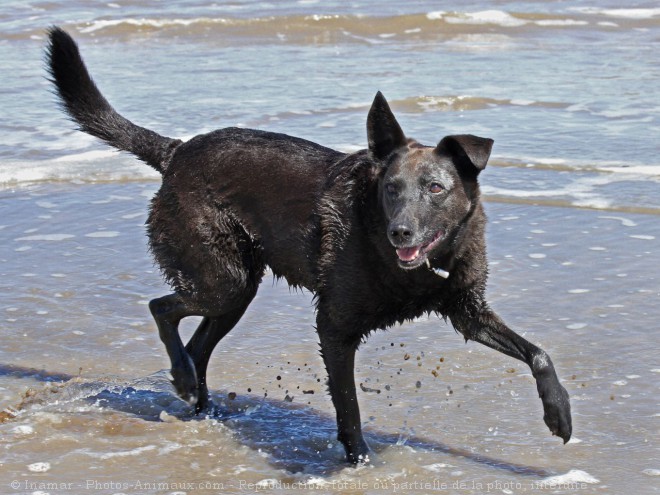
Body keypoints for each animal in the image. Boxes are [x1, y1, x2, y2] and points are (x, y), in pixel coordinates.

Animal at [47, 28, 572, 464]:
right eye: (391, 190)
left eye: (436, 188)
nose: (399, 233)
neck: (418, 267)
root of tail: (175, 152)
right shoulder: (334, 328)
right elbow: (349, 406)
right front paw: (359, 463)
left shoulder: (468, 312)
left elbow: (539, 353)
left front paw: (559, 412)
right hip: (222, 280)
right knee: (161, 308)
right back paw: (183, 380)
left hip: (236, 290)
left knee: (197, 342)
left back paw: (195, 397)